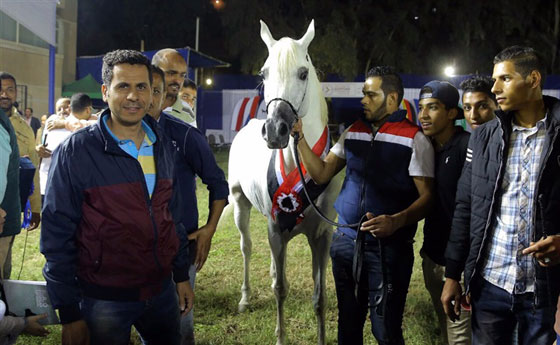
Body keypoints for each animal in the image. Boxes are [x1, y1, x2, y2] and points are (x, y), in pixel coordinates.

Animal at [228, 19, 342, 344]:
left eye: (303, 73)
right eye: (264, 73)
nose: (275, 130)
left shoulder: (321, 236)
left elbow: (320, 298)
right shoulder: (276, 229)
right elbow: (281, 290)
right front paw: (280, 336)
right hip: (240, 204)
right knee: (247, 247)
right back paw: (245, 297)